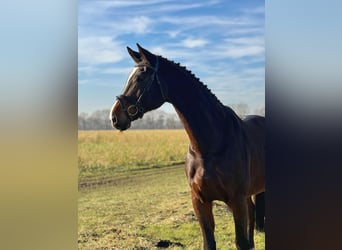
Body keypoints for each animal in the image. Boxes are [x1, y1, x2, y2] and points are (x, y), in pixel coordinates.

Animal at [109, 44, 264, 249]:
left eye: (140, 78)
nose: (114, 117)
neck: (210, 146)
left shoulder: (236, 200)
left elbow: (241, 242)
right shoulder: (200, 201)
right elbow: (209, 242)